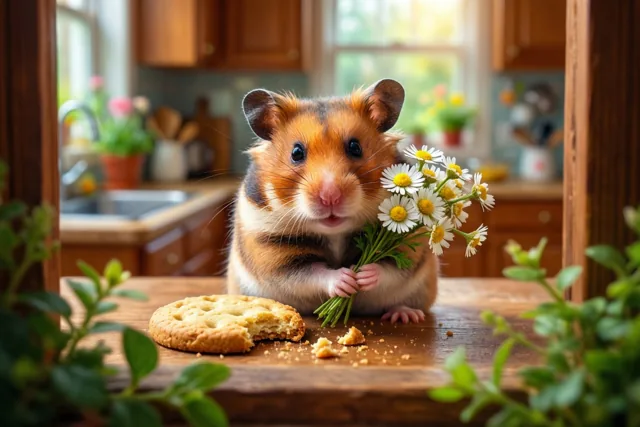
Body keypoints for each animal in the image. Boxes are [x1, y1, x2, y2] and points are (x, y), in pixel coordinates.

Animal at [226, 79, 438, 323]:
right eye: (296, 152)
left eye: (355, 147)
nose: (330, 196)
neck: (334, 232)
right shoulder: (271, 251)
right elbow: (311, 273)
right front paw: (346, 279)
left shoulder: (409, 245)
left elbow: (390, 267)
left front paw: (361, 274)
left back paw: (404, 315)